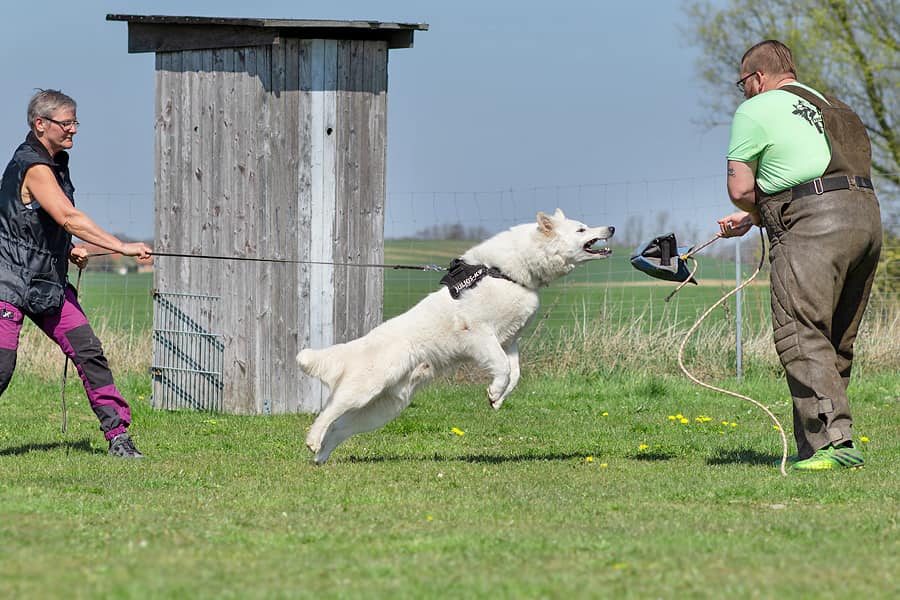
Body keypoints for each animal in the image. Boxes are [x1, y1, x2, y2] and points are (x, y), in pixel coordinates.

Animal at [296, 209, 612, 462]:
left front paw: (498, 399)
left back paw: (320, 457)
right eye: (581, 229)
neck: (506, 273)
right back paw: (312, 440)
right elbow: (502, 368)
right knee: (328, 411)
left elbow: (515, 373)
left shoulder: (510, 341)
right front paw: (495, 391)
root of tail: (358, 345)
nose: (610, 228)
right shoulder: (480, 334)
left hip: (382, 408)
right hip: (364, 389)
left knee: (339, 427)